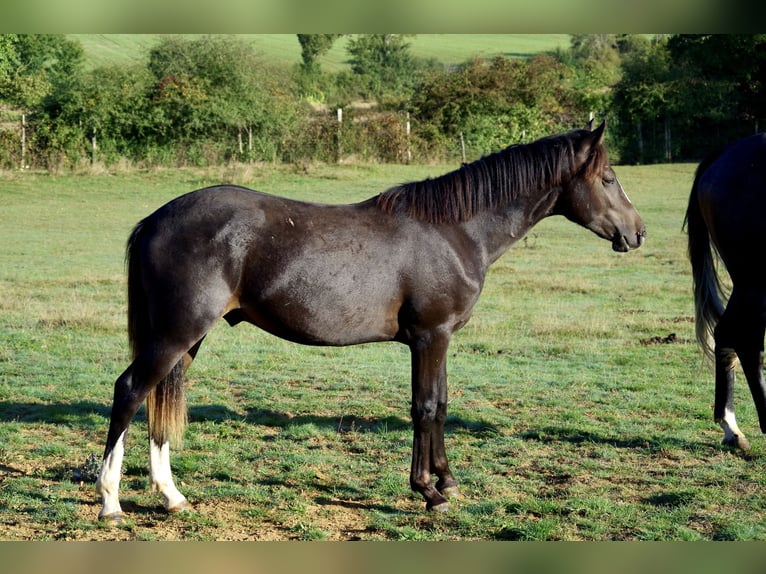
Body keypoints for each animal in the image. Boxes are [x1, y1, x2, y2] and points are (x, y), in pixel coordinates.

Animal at [96, 122, 648, 528]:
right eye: (608, 179)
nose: (637, 232)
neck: (453, 231)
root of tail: (155, 220)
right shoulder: (429, 336)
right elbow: (425, 408)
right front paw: (428, 491)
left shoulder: (438, 339)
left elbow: (441, 405)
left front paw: (447, 483)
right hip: (176, 333)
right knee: (130, 391)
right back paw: (110, 502)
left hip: (186, 338)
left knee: (157, 398)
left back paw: (172, 497)